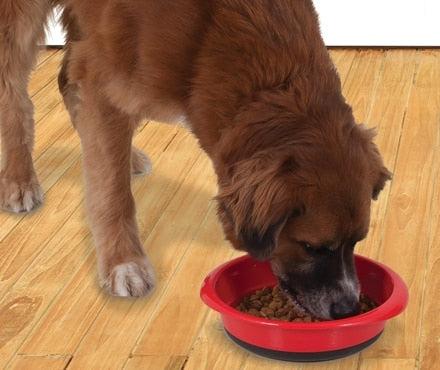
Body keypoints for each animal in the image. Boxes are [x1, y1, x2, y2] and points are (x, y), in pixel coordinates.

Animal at [1, 0, 390, 320]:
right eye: (311, 247)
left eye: (356, 242)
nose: (347, 309)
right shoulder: (102, 76)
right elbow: (112, 193)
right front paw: (123, 262)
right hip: (18, 19)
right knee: (14, 94)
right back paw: (19, 180)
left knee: (66, 82)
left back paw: (127, 156)